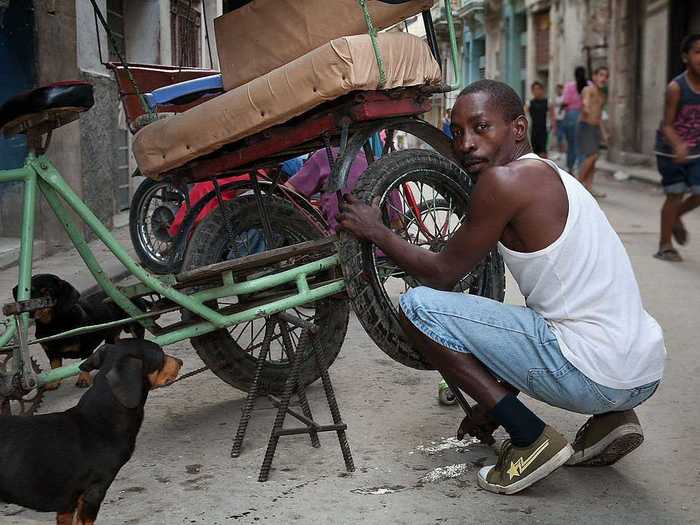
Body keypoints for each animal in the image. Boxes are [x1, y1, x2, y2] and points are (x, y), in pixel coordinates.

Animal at [13, 276, 149, 386]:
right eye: (29, 291)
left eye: (48, 292)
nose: (29, 310)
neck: (53, 325)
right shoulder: (51, 353)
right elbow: (55, 367)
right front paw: (53, 383)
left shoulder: (86, 348)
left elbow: (83, 363)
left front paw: (83, 379)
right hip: (112, 334)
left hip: (135, 327)